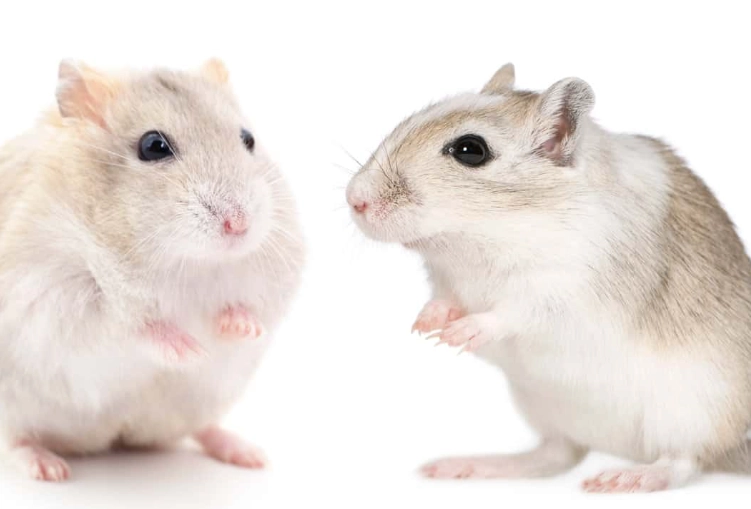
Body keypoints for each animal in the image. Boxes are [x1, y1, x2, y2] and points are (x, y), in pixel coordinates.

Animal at [0, 58, 304, 481]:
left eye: (248, 139)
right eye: (153, 146)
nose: (239, 225)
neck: (184, 259)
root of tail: (107, 440)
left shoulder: (271, 282)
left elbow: (250, 310)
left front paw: (237, 328)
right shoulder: (53, 293)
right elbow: (127, 323)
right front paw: (190, 350)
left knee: (199, 429)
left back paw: (248, 454)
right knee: (17, 439)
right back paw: (49, 468)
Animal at [346, 62, 751, 493]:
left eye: (470, 150)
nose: (354, 199)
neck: (483, 241)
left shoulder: (563, 290)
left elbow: (512, 313)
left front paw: (460, 333)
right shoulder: (448, 282)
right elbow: (444, 299)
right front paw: (427, 324)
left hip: (691, 412)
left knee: (683, 462)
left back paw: (627, 477)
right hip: (544, 408)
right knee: (556, 455)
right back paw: (469, 465)